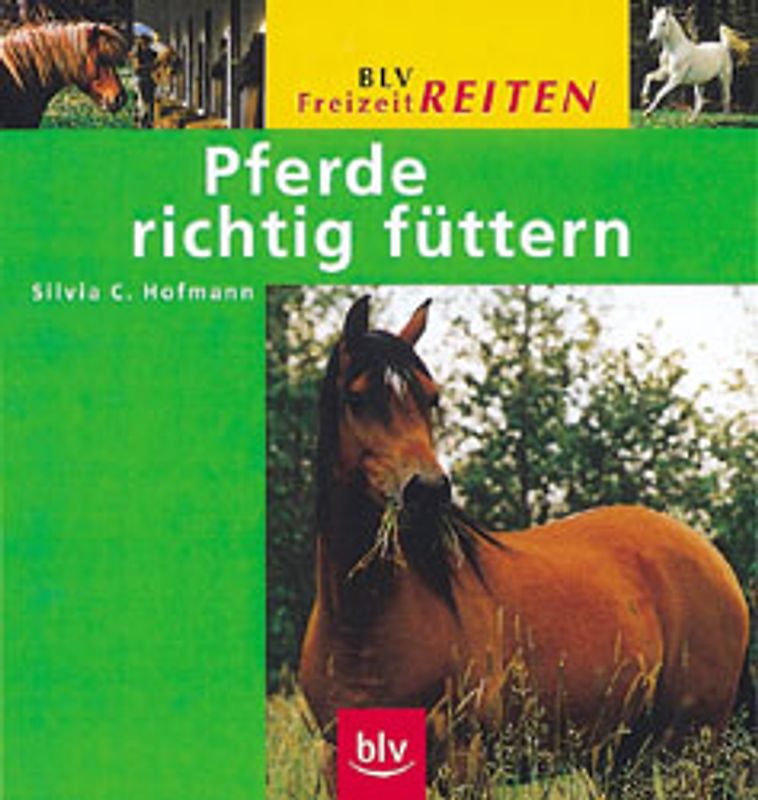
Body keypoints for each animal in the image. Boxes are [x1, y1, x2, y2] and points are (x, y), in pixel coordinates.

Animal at [299, 296, 750, 794]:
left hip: (689, 747)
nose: (428, 490)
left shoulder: (464, 762)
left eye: (430, 397)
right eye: (357, 397)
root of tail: (712, 558)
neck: (365, 618)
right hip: (620, 755)